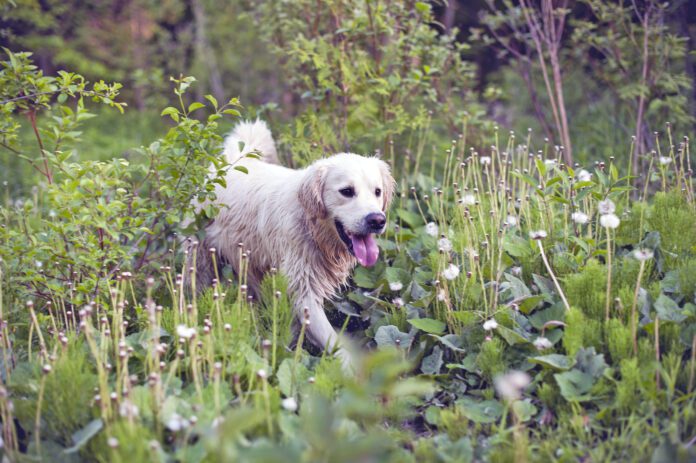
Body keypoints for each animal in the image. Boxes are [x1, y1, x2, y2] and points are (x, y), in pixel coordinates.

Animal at [193, 120, 394, 366]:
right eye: (347, 191)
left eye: (377, 191)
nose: (377, 220)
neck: (312, 226)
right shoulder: (304, 290)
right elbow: (335, 343)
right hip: (200, 259)